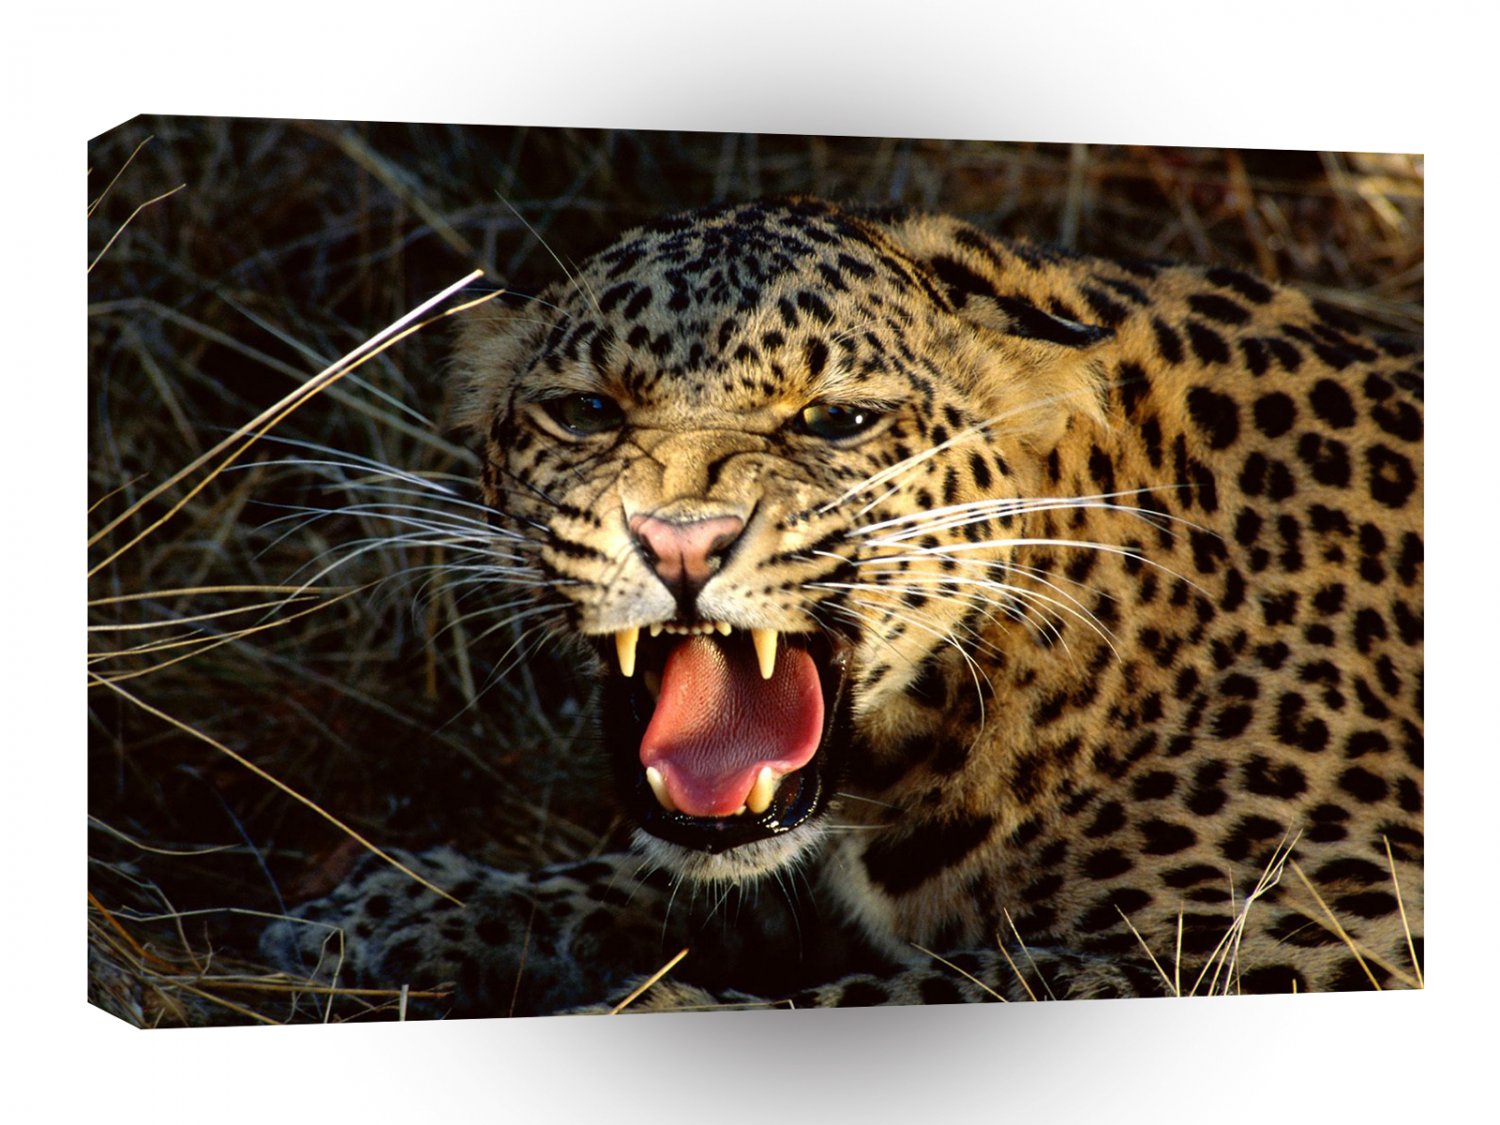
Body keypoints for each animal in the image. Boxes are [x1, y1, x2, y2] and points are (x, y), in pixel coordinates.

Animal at [263, 196, 1423, 1016]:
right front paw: (396, 908)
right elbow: (659, 877)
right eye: (586, 411)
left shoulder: (1336, 924)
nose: (680, 539)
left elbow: (972, 983)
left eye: (837, 421)